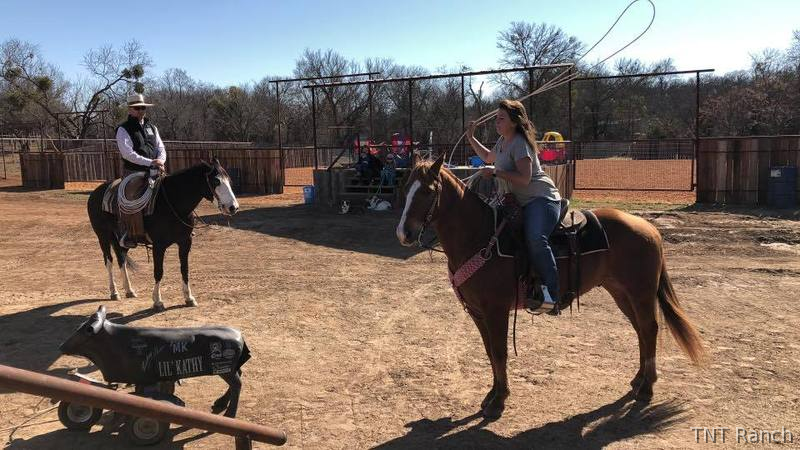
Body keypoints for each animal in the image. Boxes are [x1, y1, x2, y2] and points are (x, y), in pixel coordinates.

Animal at [87, 158, 239, 311]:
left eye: (229, 180)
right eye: (215, 181)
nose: (233, 207)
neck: (173, 203)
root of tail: (95, 193)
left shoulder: (185, 242)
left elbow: (185, 269)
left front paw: (189, 298)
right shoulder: (158, 246)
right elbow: (158, 271)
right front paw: (158, 301)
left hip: (121, 239)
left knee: (121, 259)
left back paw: (129, 290)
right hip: (103, 236)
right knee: (109, 261)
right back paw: (114, 292)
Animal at [396, 154, 706, 420]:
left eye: (427, 191)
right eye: (405, 188)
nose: (404, 233)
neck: (481, 237)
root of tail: (649, 227)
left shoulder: (496, 310)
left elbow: (500, 352)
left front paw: (499, 402)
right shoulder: (477, 313)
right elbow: (489, 352)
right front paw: (491, 396)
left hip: (640, 293)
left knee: (650, 329)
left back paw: (647, 388)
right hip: (621, 292)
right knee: (640, 330)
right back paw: (638, 380)